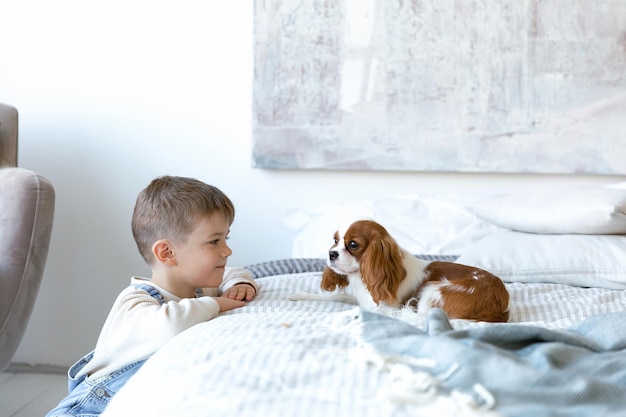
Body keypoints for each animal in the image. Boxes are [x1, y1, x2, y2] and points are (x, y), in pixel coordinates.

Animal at [290, 218, 510, 322]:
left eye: (353, 244)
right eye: (335, 240)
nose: (331, 254)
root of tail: (500, 305)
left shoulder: (386, 306)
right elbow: (337, 296)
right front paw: (300, 295)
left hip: (433, 290)